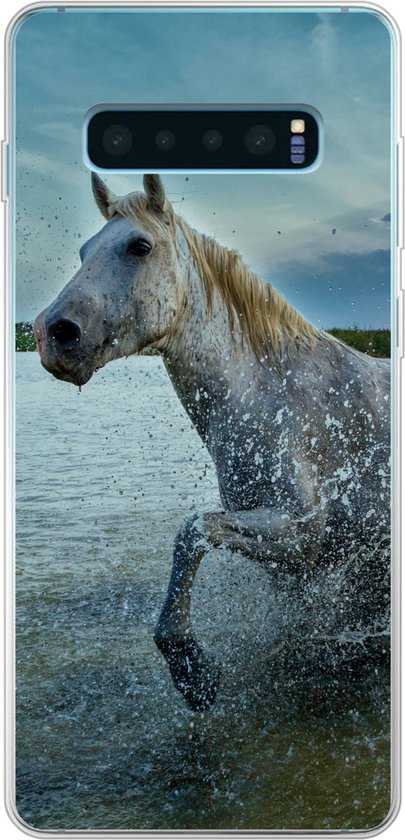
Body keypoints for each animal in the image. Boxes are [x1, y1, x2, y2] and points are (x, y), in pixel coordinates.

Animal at [34, 173, 390, 711]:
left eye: (140, 246)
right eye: (83, 250)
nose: (53, 333)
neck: (275, 397)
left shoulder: (300, 534)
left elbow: (192, 532)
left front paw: (189, 667)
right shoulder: (291, 561)